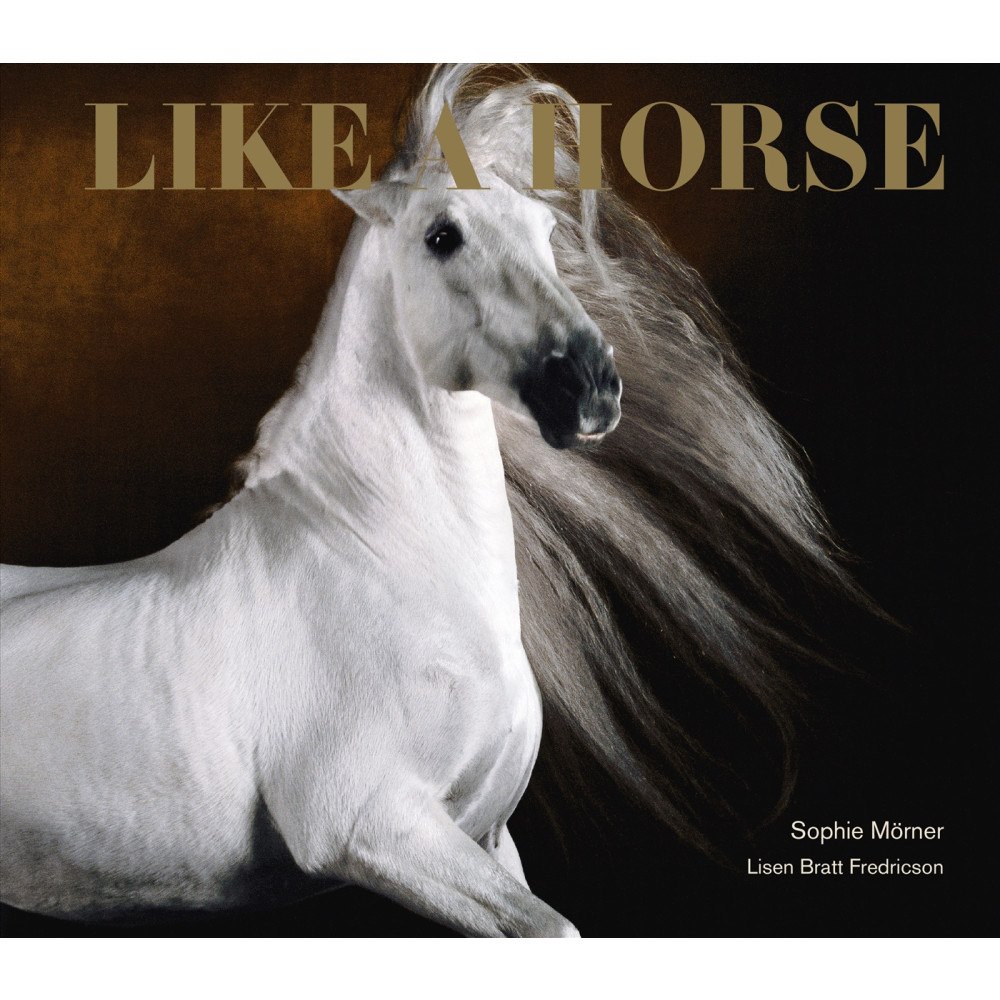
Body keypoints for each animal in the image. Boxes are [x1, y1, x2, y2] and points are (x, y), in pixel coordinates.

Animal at [0, 65, 859, 936]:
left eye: (546, 231)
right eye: (442, 235)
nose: (588, 385)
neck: (384, 560)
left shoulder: (484, 837)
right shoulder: (371, 825)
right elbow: (554, 926)